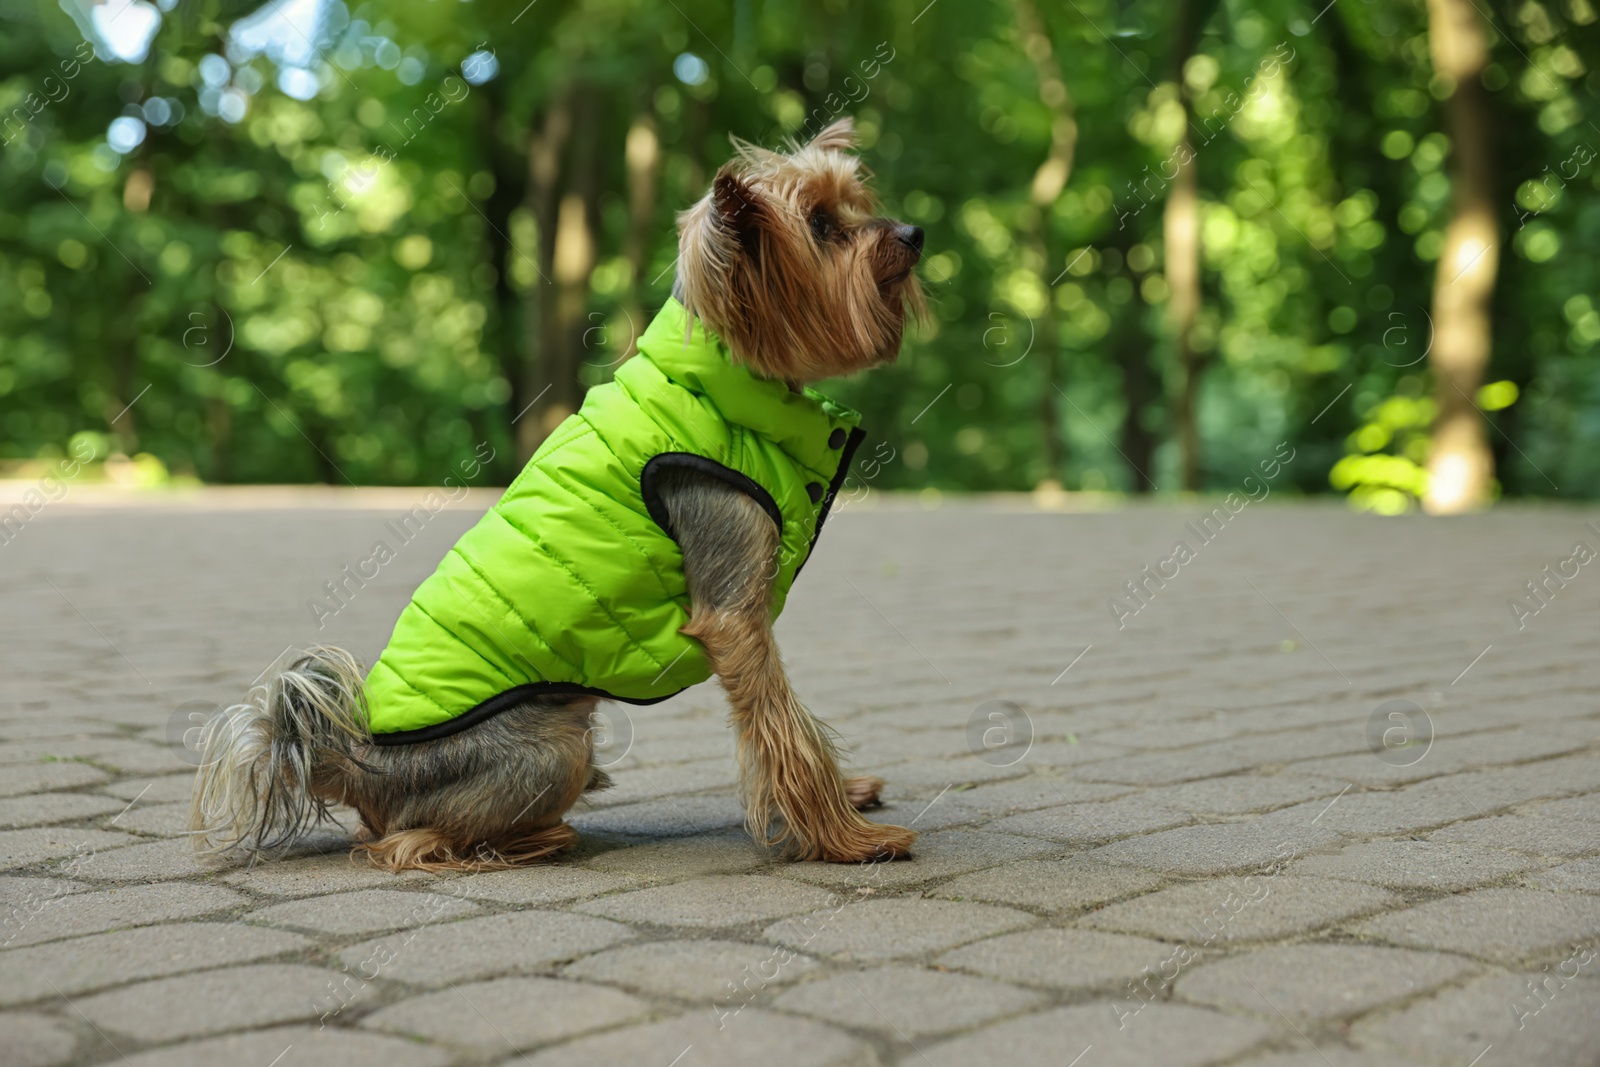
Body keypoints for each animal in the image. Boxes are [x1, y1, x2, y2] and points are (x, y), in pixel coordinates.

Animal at [190, 116, 928, 870]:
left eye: (855, 204)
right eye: (821, 225)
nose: (914, 233)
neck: (716, 384)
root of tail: (351, 759)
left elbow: (781, 725)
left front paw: (845, 800)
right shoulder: (732, 607)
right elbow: (782, 726)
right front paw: (847, 836)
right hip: (551, 746)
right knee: (404, 838)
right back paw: (537, 835)